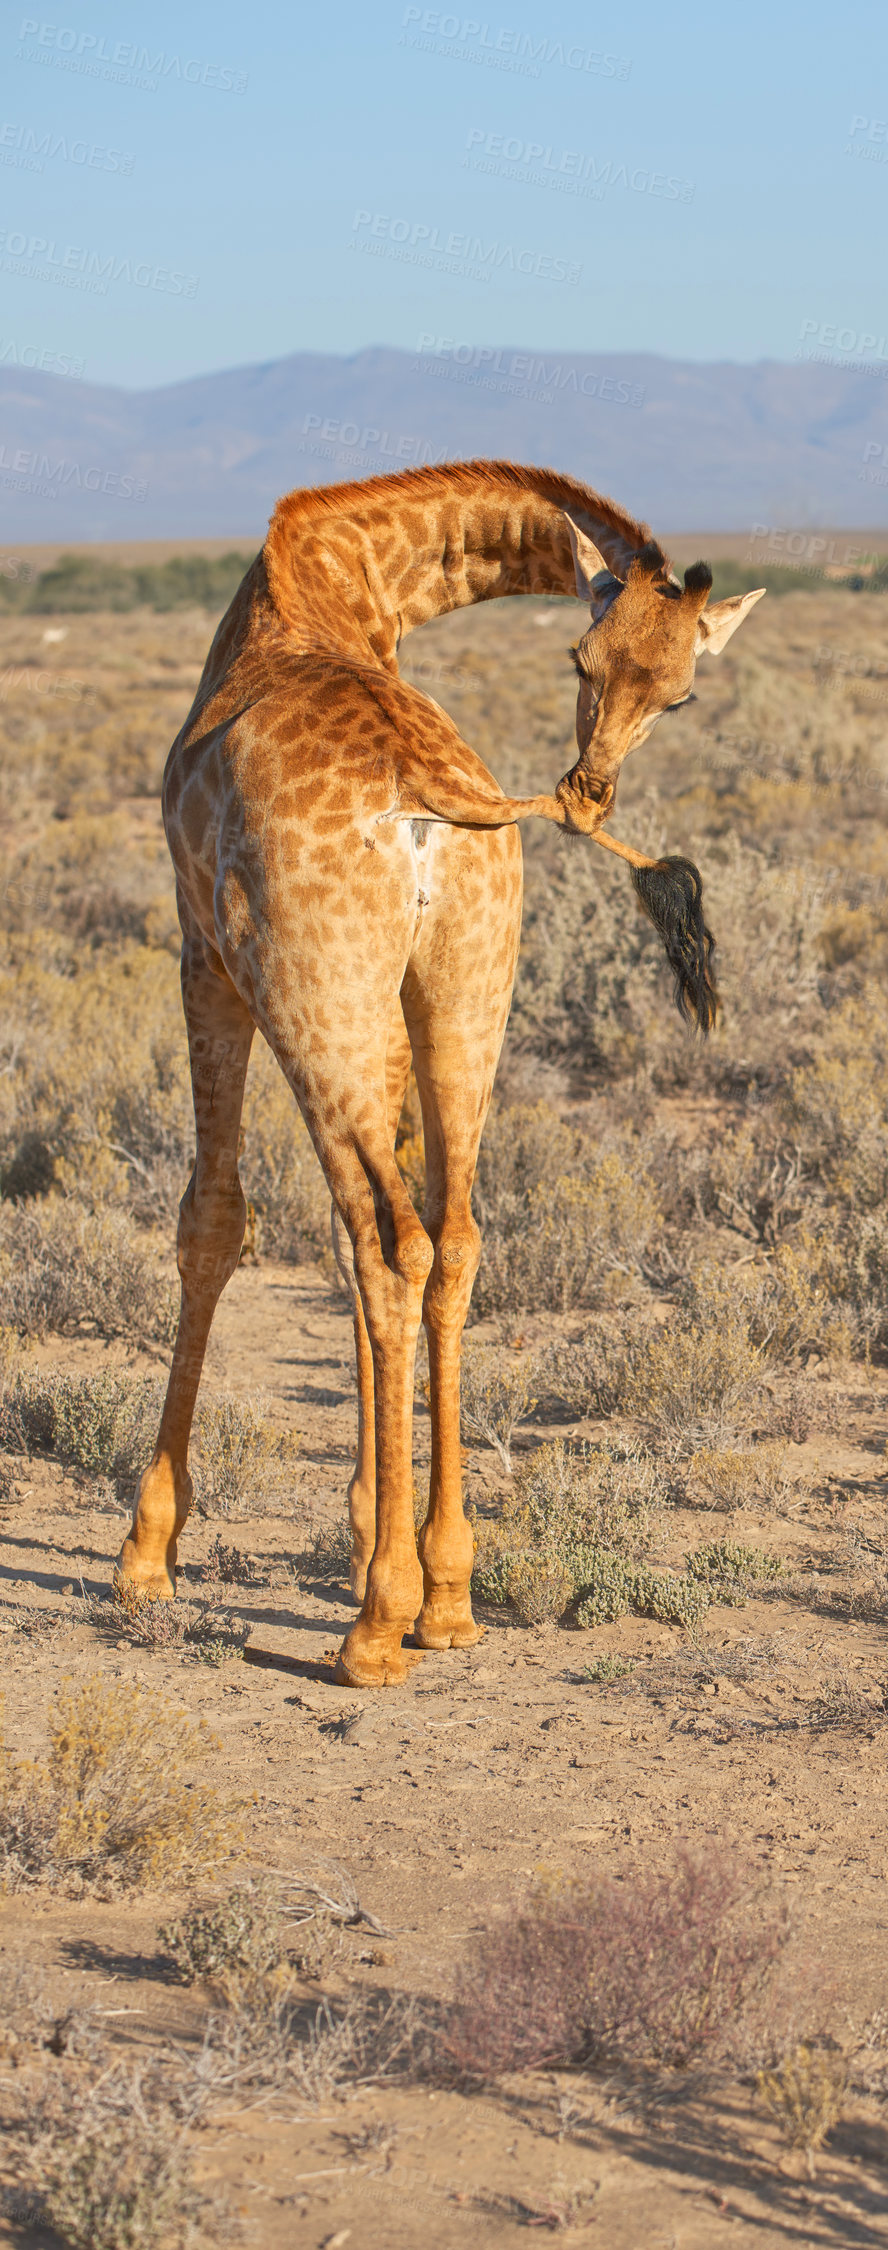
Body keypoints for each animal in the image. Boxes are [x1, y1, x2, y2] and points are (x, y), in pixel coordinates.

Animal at [118, 461, 764, 1692]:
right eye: (582, 659)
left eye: (681, 697)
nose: (591, 791)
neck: (341, 578)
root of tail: (435, 807)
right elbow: (359, 1233)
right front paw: (367, 1522)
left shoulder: (199, 953)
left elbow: (214, 1223)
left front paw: (147, 1554)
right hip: (465, 995)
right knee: (450, 1238)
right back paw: (449, 1595)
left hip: (315, 997)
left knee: (388, 1246)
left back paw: (377, 1627)